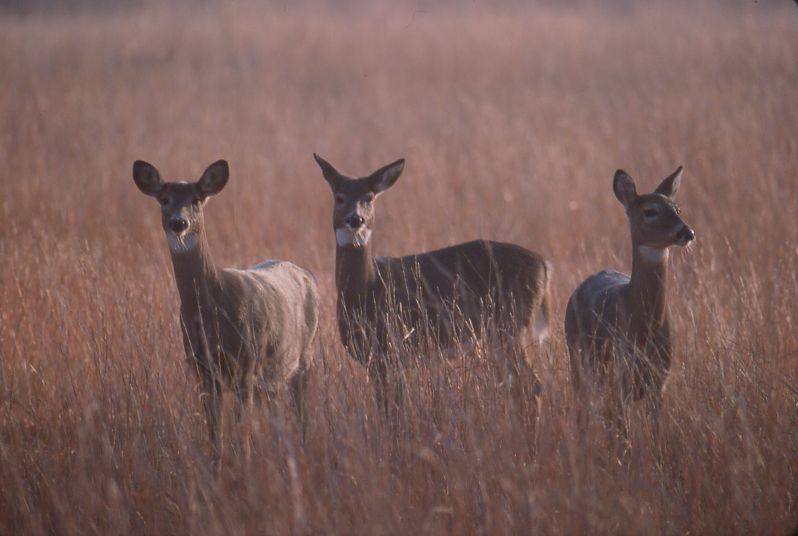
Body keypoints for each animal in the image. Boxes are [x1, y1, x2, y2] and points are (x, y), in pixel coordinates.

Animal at [133, 159, 319, 462]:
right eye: (164, 199)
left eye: (196, 199)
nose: (178, 223)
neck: (212, 312)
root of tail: (307, 274)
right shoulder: (202, 370)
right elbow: (215, 436)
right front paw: (218, 466)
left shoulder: (246, 364)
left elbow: (242, 433)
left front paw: (244, 465)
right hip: (273, 377)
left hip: (304, 357)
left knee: (301, 415)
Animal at [313, 154, 552, 416]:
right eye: (339, 197)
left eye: (369, 197)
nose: (356, 219)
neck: (368, 287)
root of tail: (544, 264)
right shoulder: (376, 360)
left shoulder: (393, 349)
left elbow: (395, 408)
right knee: (518, 386)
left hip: (508, 325)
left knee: (532, 385)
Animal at [564, 166, 694, 453]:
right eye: (650, 211)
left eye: (677, 208)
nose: (687, 232)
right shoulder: (619, 379)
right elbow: (625, 437)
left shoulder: (660, 381)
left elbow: (656, 435)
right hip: (579, 364)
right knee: (583, 415)